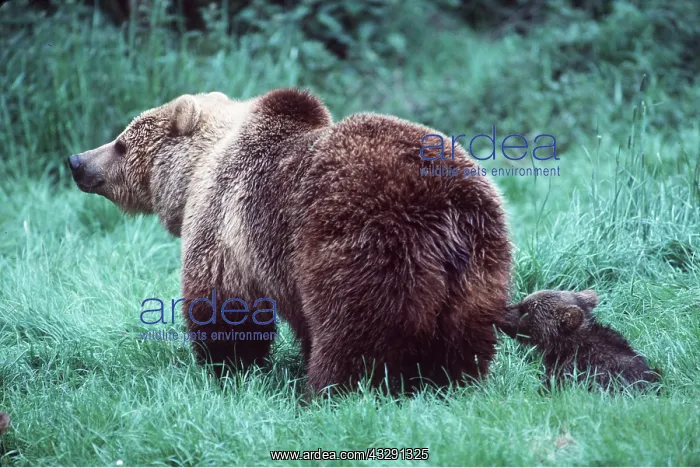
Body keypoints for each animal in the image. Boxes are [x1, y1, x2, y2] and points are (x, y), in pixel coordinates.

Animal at [68, 88, 512, 393]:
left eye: (122, 142)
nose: (77, 161)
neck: (195, 172)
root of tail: (446, 214)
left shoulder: (225, 224)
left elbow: (225, 305)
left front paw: (226, 366)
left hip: (362, 248)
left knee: (353, 336)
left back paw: (328, 391)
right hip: (482, 262)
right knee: (462, 341)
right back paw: (450, 385)